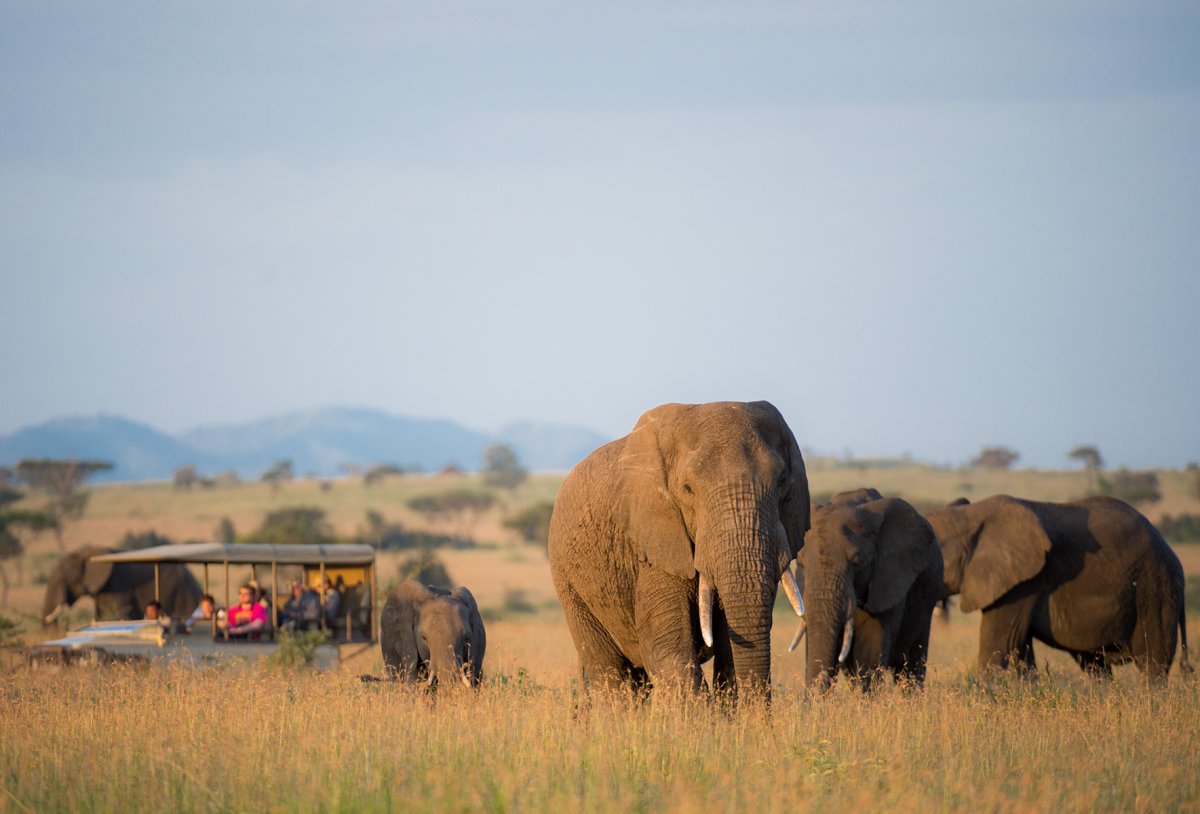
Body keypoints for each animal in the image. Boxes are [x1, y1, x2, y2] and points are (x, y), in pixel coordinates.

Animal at [547, 401, 810, 702]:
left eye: (782, 482)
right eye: (688, 489)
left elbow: (729, 649)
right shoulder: (654, 544)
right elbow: (667, 650)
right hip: (568, 582)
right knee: (610, 671)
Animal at [925, 495, 1191, 683]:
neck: (970, 516)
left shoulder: (1024, 583)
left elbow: (999, 649)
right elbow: (1021, 655)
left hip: (1155, 590)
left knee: (1153, 664)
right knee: (1095, 666)